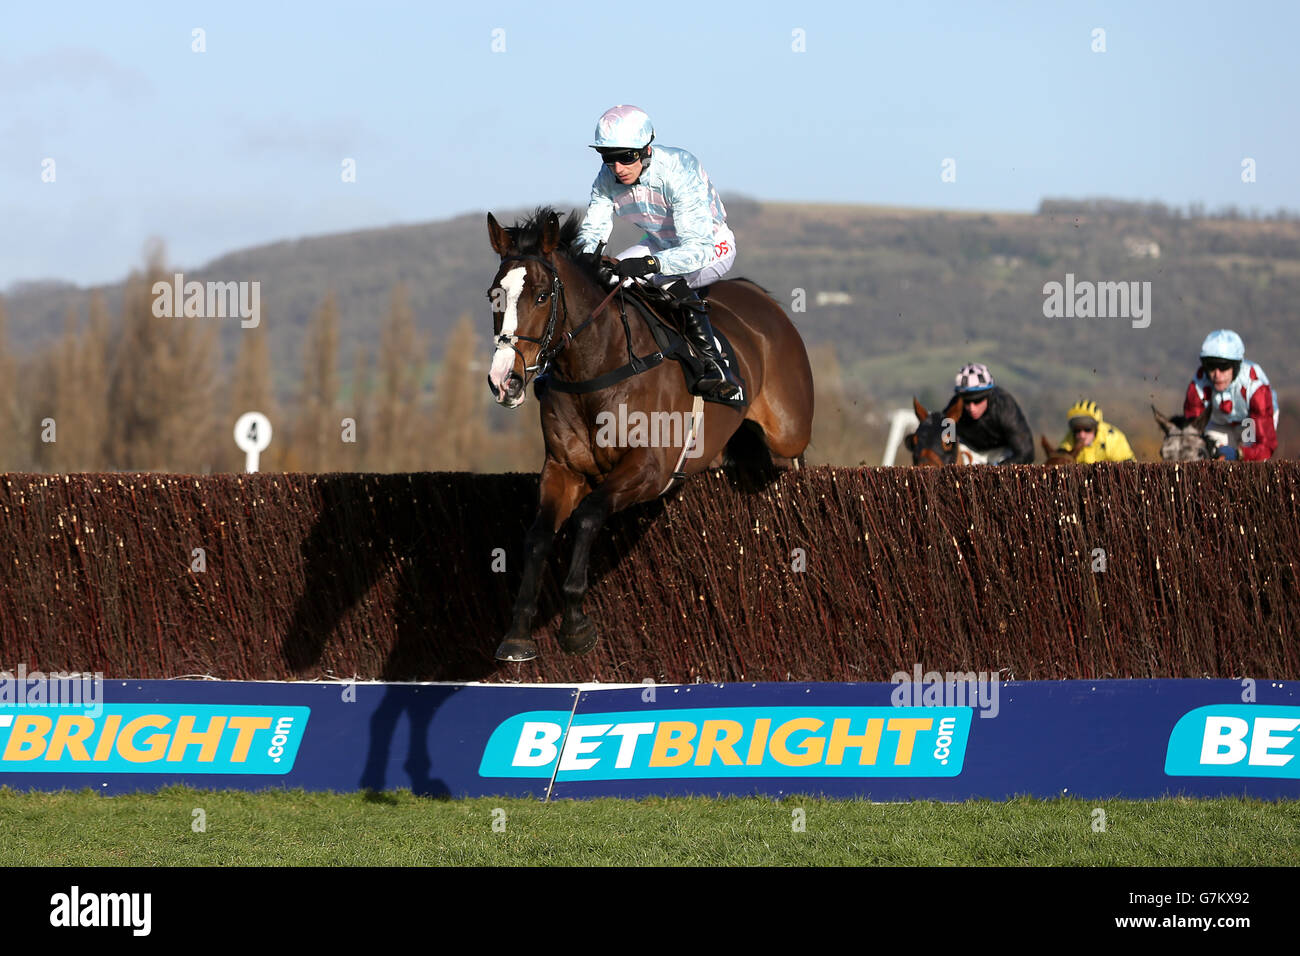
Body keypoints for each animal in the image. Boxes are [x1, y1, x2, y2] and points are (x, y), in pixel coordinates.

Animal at [486, 205, 811, 660]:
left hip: (788, 429)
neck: (596, 365)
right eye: (493, 296)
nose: (505, 381)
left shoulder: (651, 469)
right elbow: (537, 537)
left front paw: (576, 625)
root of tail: (761, 299)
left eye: (541, 295)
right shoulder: (563, 468)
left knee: (792, 456)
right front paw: (518, 633)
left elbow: (588, 516)